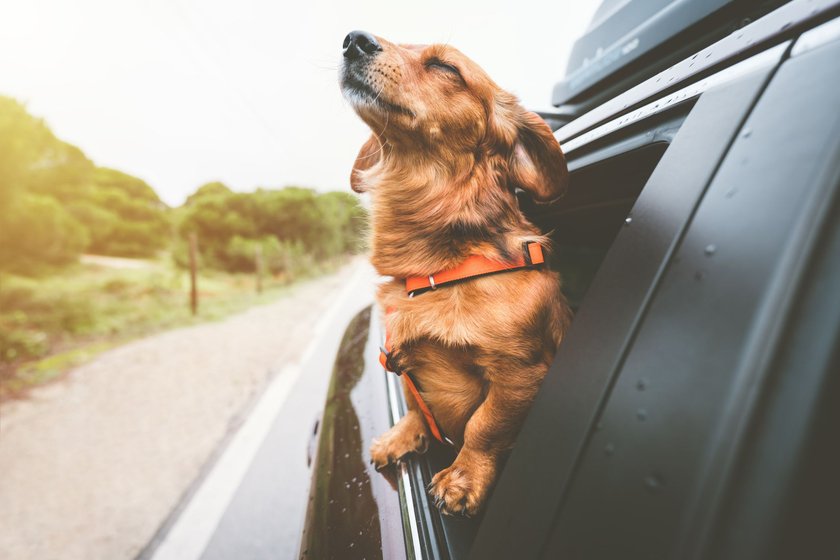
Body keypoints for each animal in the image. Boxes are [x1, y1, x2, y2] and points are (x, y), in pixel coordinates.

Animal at [342, 30, 572, 516]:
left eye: (446, 68)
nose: (354, 39)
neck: (437, 271)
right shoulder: (401, 360)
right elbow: (416, 402)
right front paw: (405, 436)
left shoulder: (519, 374)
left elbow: (484, 426)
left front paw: (464, 477)